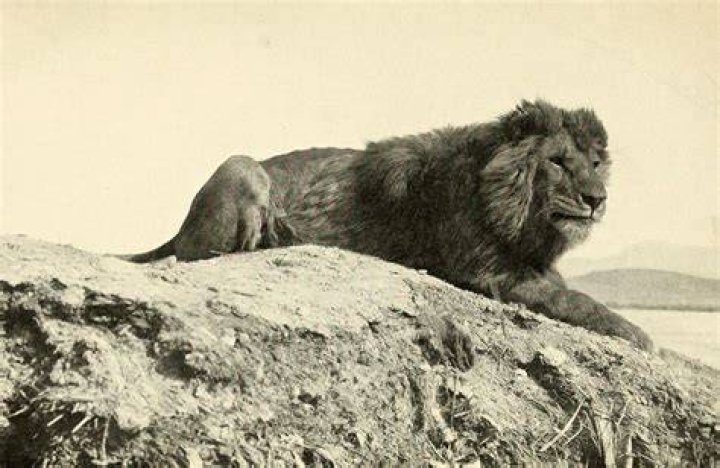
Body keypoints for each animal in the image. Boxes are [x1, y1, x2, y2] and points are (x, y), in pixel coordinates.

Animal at [124, 100, 653, 351]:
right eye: (559, 162)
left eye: (596, 163)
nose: (597, 199)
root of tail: (178, 225)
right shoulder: (487, 273)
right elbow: (579, 302)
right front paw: (641, 336)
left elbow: (572, 292)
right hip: (242, 166)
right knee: (201, 252)